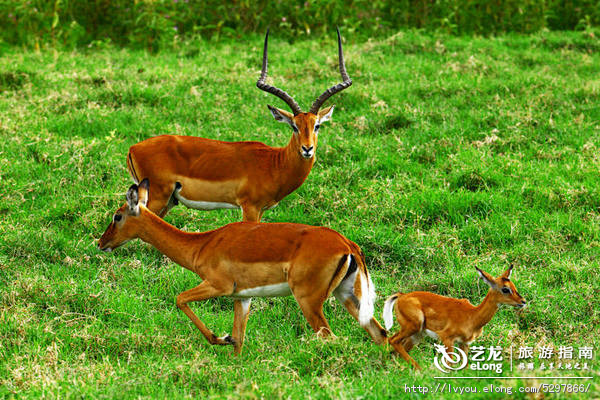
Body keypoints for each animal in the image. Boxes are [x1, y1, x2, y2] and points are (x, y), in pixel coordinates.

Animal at [97, 180, 390, 354]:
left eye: (117, 216)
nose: (101, 242)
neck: (202, 244)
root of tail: (348, 245)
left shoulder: (219, 286)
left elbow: (180, 299)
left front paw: (220, 338)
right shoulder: (243, 297)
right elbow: (240, 338)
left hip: (309, 300)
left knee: (330, 336)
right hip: (347, 296)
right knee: (381, 333)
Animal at [123, 28, 352, 222]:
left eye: (317, 126)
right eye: (294, 126)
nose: (307, 149)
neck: (274, 163)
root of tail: (132, 148)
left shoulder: (261, 210)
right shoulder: (249, 207)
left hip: (169, 201)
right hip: (157, 198)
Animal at [384, 266, 524, 368]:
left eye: (514, 286)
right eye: (505, 289)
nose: (523, 301)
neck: (473, 316)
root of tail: (401, 296)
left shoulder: (464, 343)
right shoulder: (447, 338)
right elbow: (450, 364)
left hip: (417, 334)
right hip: (413, 326)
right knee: (392, 340)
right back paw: (419, 368)